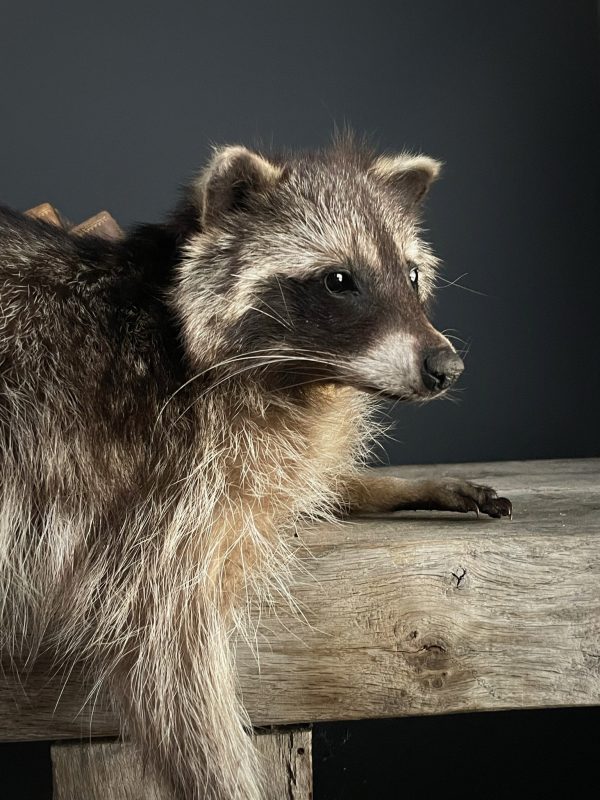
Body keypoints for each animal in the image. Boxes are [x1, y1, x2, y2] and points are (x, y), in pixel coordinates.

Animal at [0, 139, 510, 800]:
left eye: (413, 273)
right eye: (339, 280)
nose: (446, 366)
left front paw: (385, 485)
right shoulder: (152, 488)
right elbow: (163, 659)